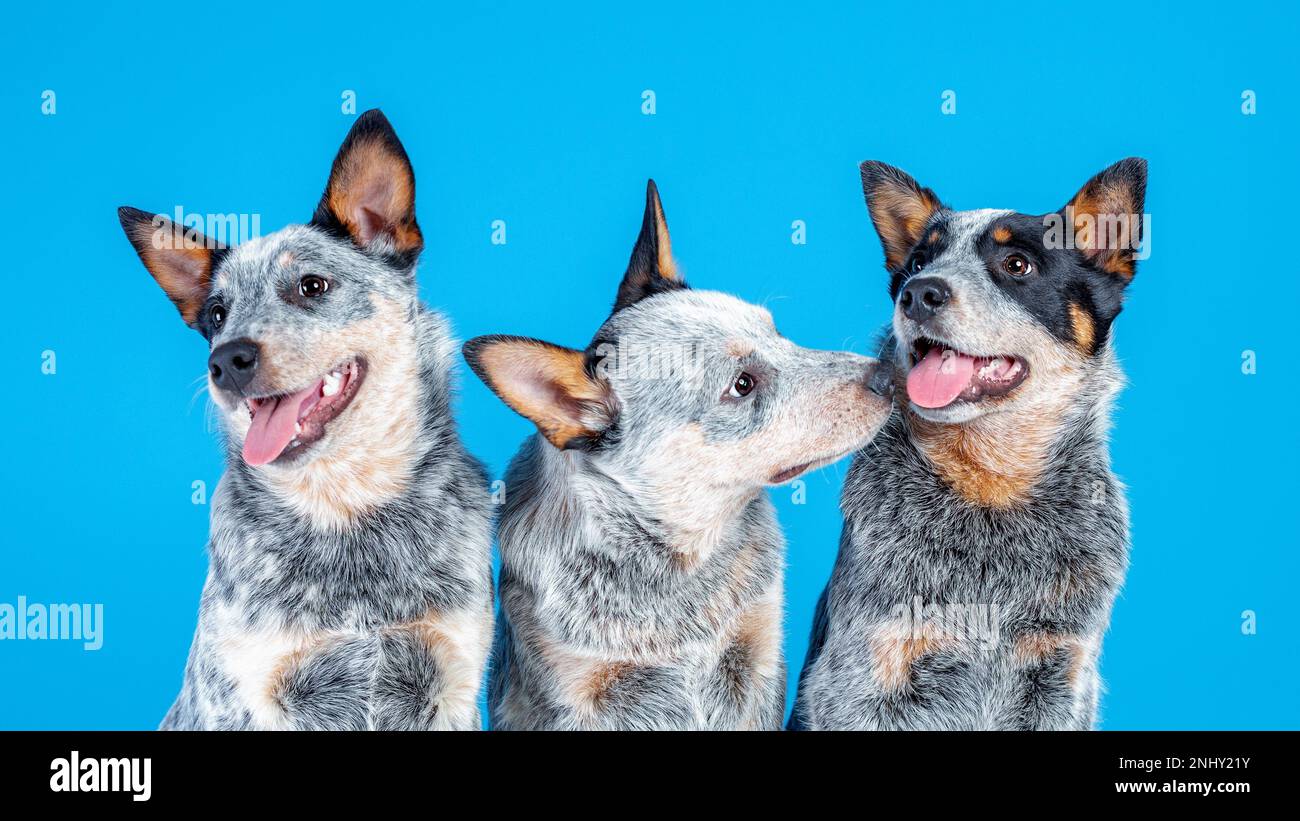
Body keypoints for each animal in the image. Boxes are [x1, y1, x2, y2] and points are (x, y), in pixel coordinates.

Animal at [118, 110, 491, 732]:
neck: (347, 508)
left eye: (311, 286)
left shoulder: (452, 681)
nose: (226, 361)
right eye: (216, 313)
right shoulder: (244, 694)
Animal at [460, 180, 894, 732]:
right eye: (742, 384)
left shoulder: (757, 658)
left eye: (777, 334)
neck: (680, 561)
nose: (889, 375)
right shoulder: (573, 690)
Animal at [790, 160, 1149, 732]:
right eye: (918, 262)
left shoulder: (1061, 675)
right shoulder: (866, 679)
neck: (991, 489)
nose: (918, 293)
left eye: (1017, 264)